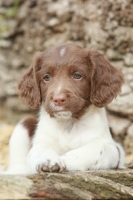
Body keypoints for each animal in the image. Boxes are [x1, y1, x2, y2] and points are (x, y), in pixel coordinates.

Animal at [6, 43, 124, 173]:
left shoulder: (111, 148)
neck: (68, 123)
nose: (58, 99)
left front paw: (62, 160)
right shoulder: (41, 142)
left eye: (77, 75)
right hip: (23, 125)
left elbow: (89, 151)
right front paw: (48, 160)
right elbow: (40, 150)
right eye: (46, 77)